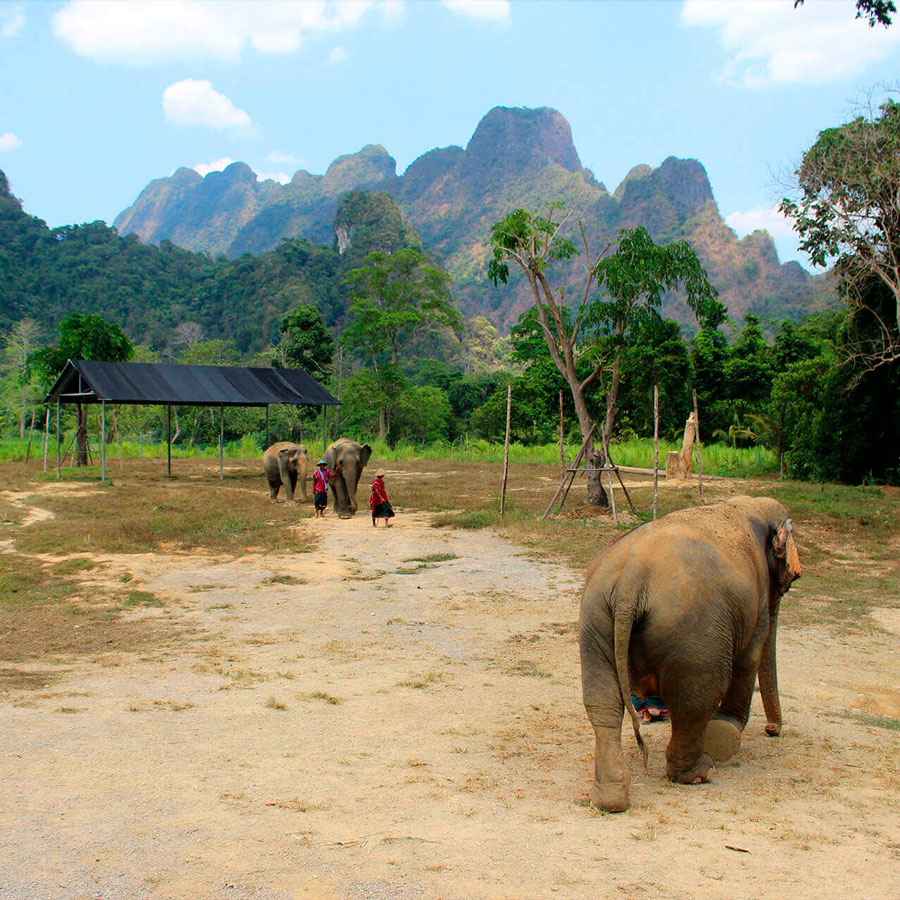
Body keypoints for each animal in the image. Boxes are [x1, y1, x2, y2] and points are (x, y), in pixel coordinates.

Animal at [580, 496, 804, 812]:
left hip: (596, 618)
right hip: (694, 631)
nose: (772, 730)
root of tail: (630, 581)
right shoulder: (758, 601)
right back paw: (699, 774)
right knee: (695, 701)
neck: (749, 507)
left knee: (604, 706)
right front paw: (727, 732)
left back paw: (608, 801)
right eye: (790, 579)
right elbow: (748, 659)